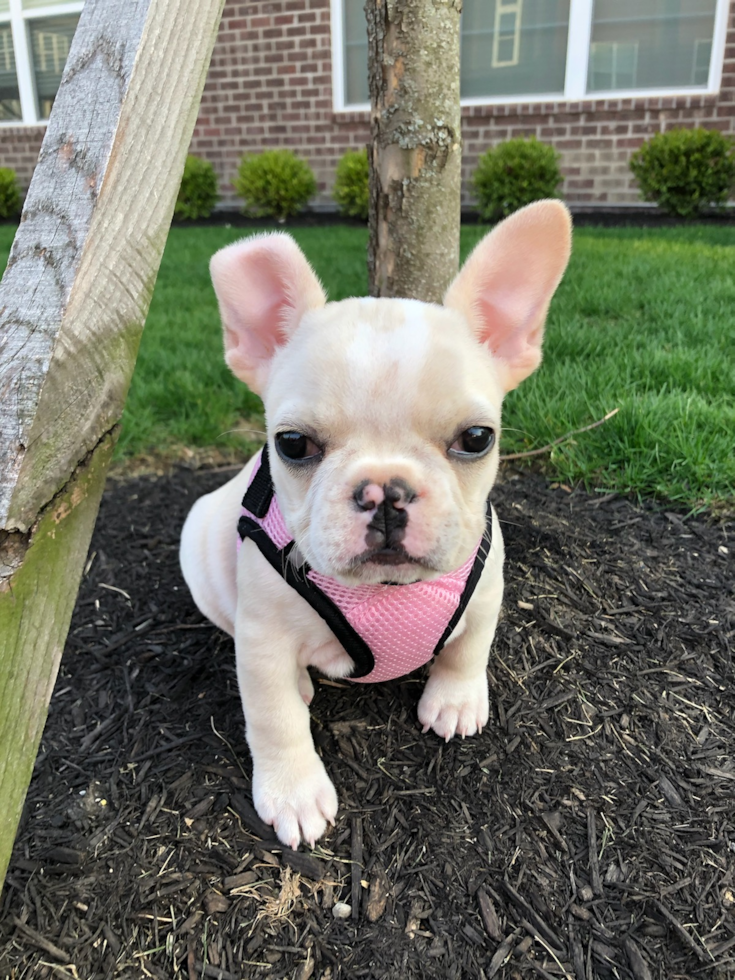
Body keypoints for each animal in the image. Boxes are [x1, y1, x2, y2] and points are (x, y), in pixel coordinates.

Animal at [181, 199, 572, 848]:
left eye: (477, 438)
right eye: (292, 444)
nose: (385, 491)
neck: (386, 591)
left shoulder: (486, 589)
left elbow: (470, 648)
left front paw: (456, 700)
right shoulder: (263, 642)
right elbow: (273, 717)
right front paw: (293, 791)